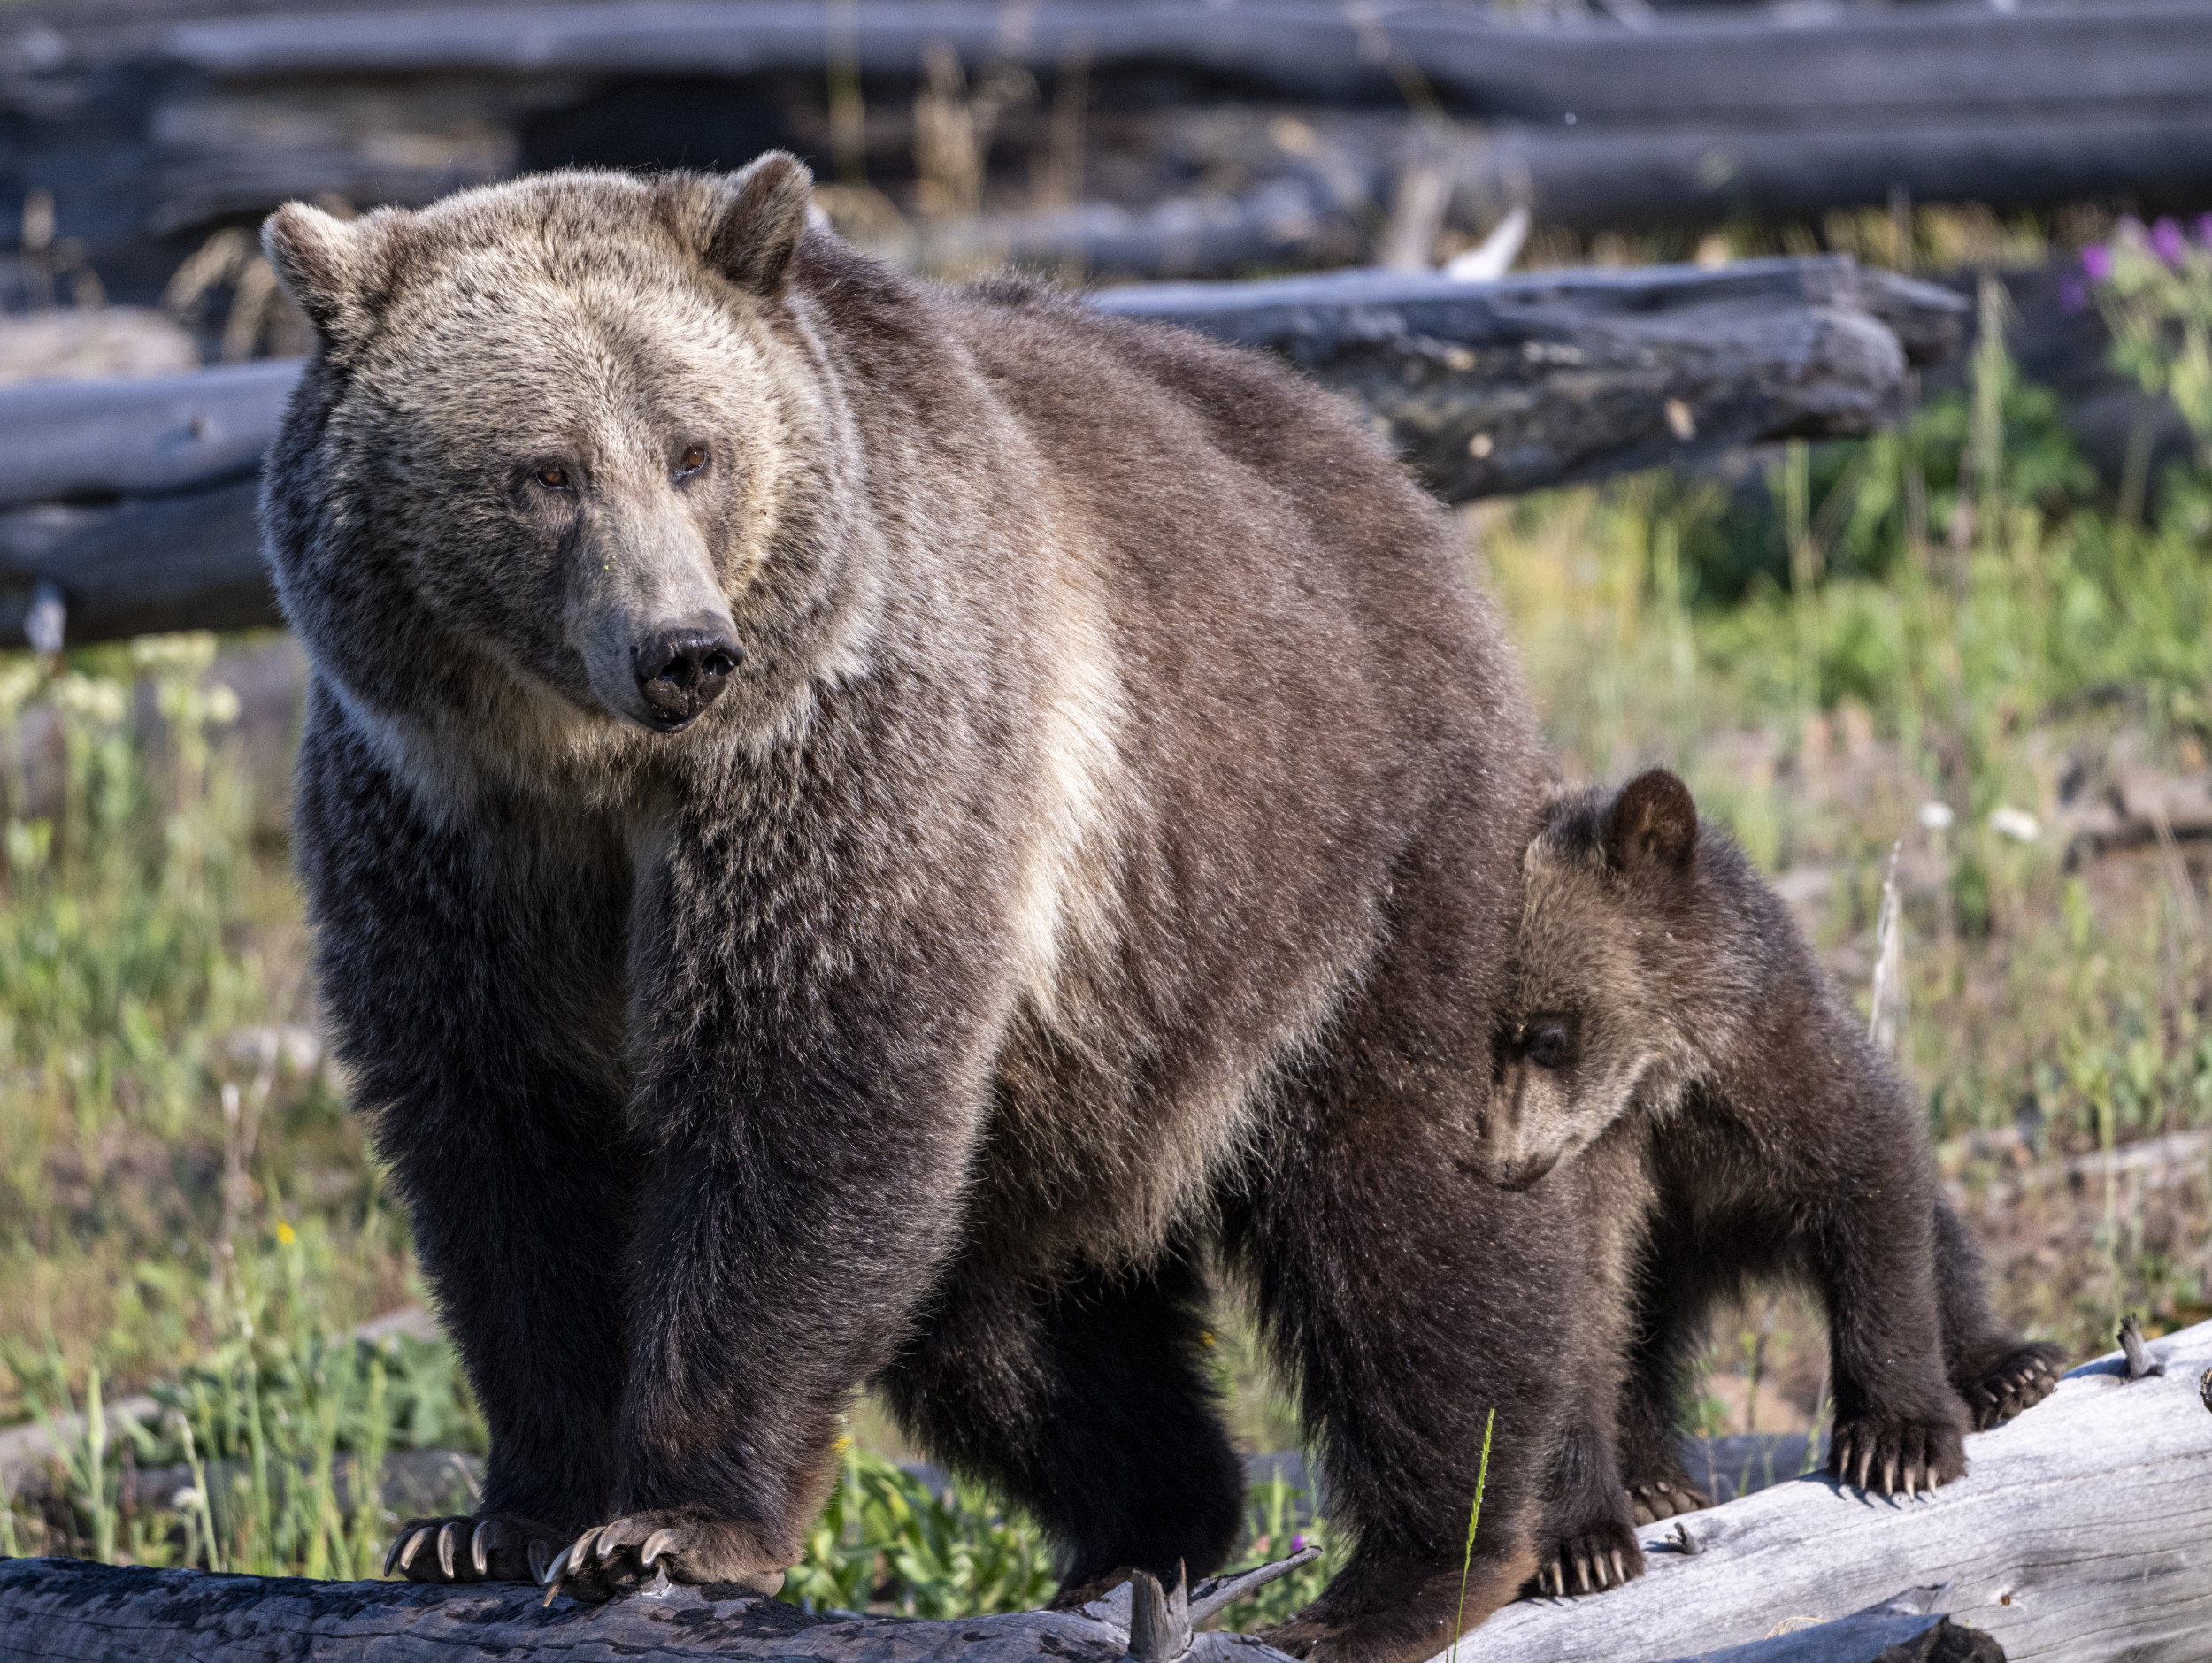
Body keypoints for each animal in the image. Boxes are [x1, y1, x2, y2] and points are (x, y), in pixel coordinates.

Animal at [258, 156, 1566, 1663]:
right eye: (545, 471)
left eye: (693, 452)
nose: (684, 651)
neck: (593, 770)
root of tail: (1386, 469)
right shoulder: (442, 830)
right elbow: (507, 1142)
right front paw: (496, 1518)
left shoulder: (841, 750)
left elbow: (800, 1082)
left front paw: (670, 1522)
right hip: (1079, 1063)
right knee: (1010, 1324)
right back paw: (1144, 1534)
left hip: (1338, 846)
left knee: (1402, 1203)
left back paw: (1416, 1565)